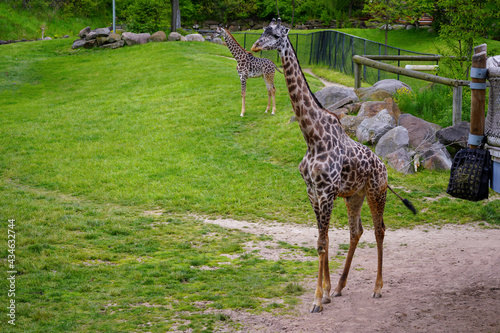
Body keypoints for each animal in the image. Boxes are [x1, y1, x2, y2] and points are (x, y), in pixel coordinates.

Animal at [250, 19, 418, 312]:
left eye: (275, 34)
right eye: (262, 31)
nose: (255, 46)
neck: (312, 137)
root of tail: (384, 167)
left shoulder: (327, 192)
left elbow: (321, 243)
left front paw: (317, 300)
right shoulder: (313, 193)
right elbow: (324, 240)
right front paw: (327, 292)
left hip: (376, 192)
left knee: (379, 230)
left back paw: (377, 288)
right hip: (354, 196)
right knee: (356, 231)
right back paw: (340, 286)